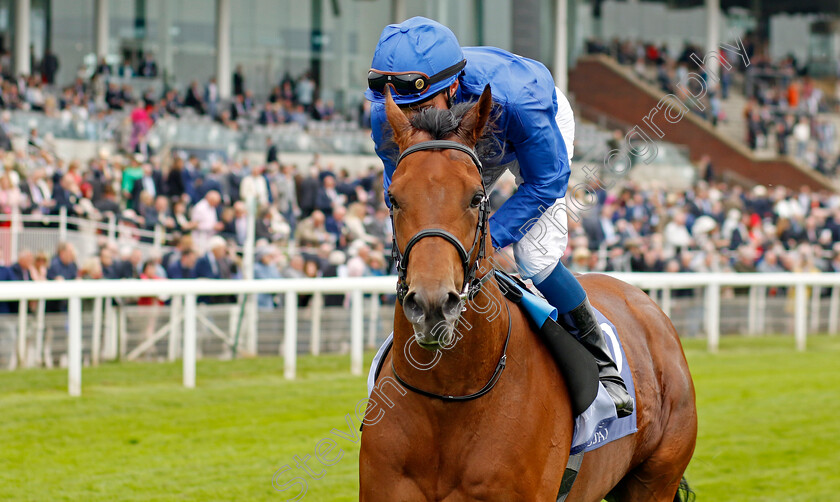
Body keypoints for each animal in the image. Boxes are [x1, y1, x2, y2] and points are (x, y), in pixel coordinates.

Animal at [358, 87, 700, 502]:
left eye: (476, 197)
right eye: (393, 198)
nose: (432, 305)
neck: (448, 397)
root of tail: (646, 303)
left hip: (655, 479)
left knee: (542, 260)